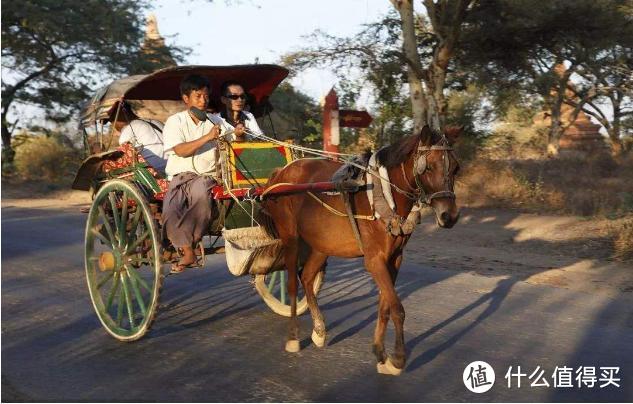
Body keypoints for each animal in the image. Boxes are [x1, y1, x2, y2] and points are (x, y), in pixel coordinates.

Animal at [260, 125, 462, 376]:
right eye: (429, 167)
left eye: (455, 168)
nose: (449, 216)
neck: (384, 194)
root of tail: (280, 174)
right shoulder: (374, 260)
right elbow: (397, 309)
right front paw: (397, 359)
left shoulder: (394, 259)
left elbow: (385, 307)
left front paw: (380, 353)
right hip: (290, 237)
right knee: (291, 284)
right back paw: (293, 337)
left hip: (322, 245)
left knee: (306, 278)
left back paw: (319, 330)